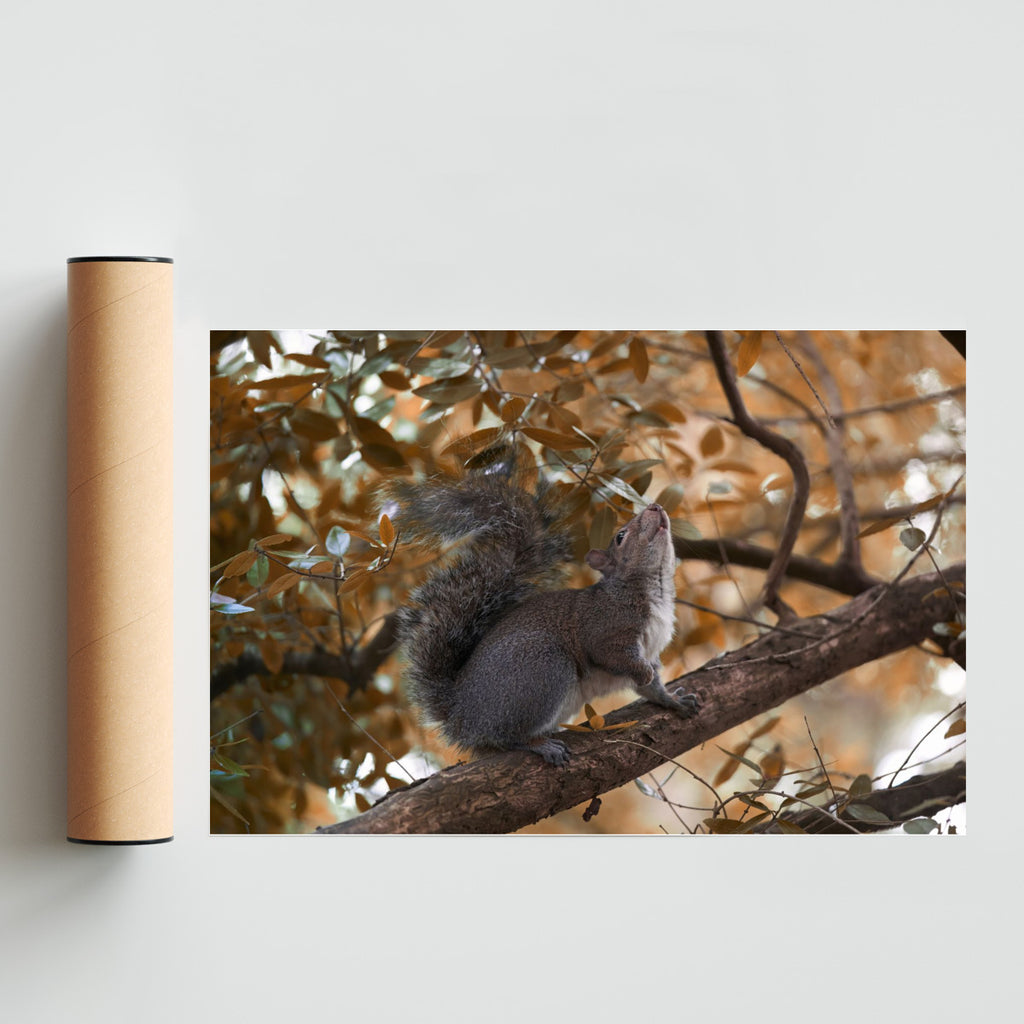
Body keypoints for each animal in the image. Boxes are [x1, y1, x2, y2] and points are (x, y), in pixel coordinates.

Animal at [388, 453, 700, 765]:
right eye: (620, 536)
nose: (655, 507)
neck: (656, 588)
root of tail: (461, 716)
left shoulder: (652, 648)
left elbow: (652, 687)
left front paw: (673, 700)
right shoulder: (605, 626)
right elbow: (614, 656)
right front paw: (643, 673)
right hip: (543, 668)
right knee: (506, 737)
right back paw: (539, 744)